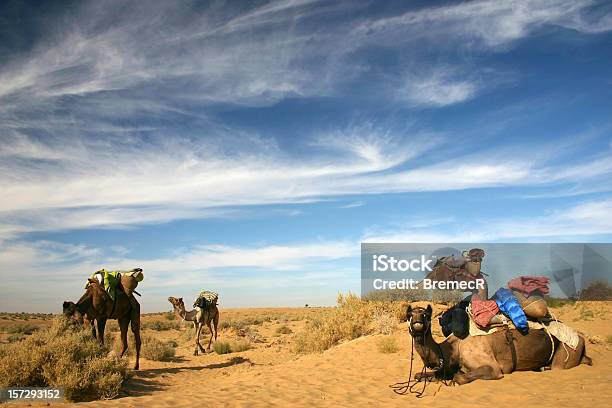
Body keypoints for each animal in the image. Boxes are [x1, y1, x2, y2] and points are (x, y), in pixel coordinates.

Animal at [406, 302, 588, 386]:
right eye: (409, 315)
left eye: (426, 315)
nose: (417, 322)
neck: (455, 347)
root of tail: (581, 339)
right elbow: (418, 375)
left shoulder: (493, 368)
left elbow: (459, 376)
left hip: (568, 352)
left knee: (558, 366)